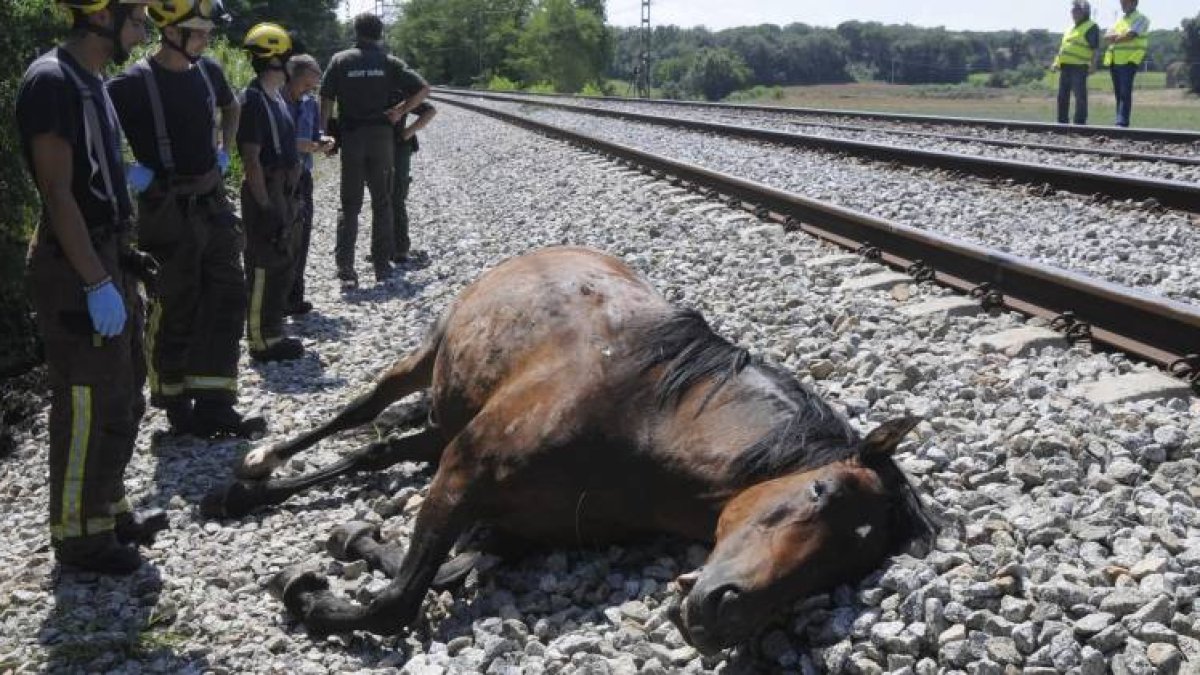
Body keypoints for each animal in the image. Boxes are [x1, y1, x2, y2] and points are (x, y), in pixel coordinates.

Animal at [234, 246, 931, 653]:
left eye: (846, 567)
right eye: (818, 490)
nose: (725, 613)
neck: (644, 424)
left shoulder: (514, 530)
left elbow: (441, 571)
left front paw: (354, 541)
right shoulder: (464, 471)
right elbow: (394, 602)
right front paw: (306, 594)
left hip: (448, 414)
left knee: (383, 449)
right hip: (428, 355)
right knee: (361, 411)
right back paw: (250, 476)